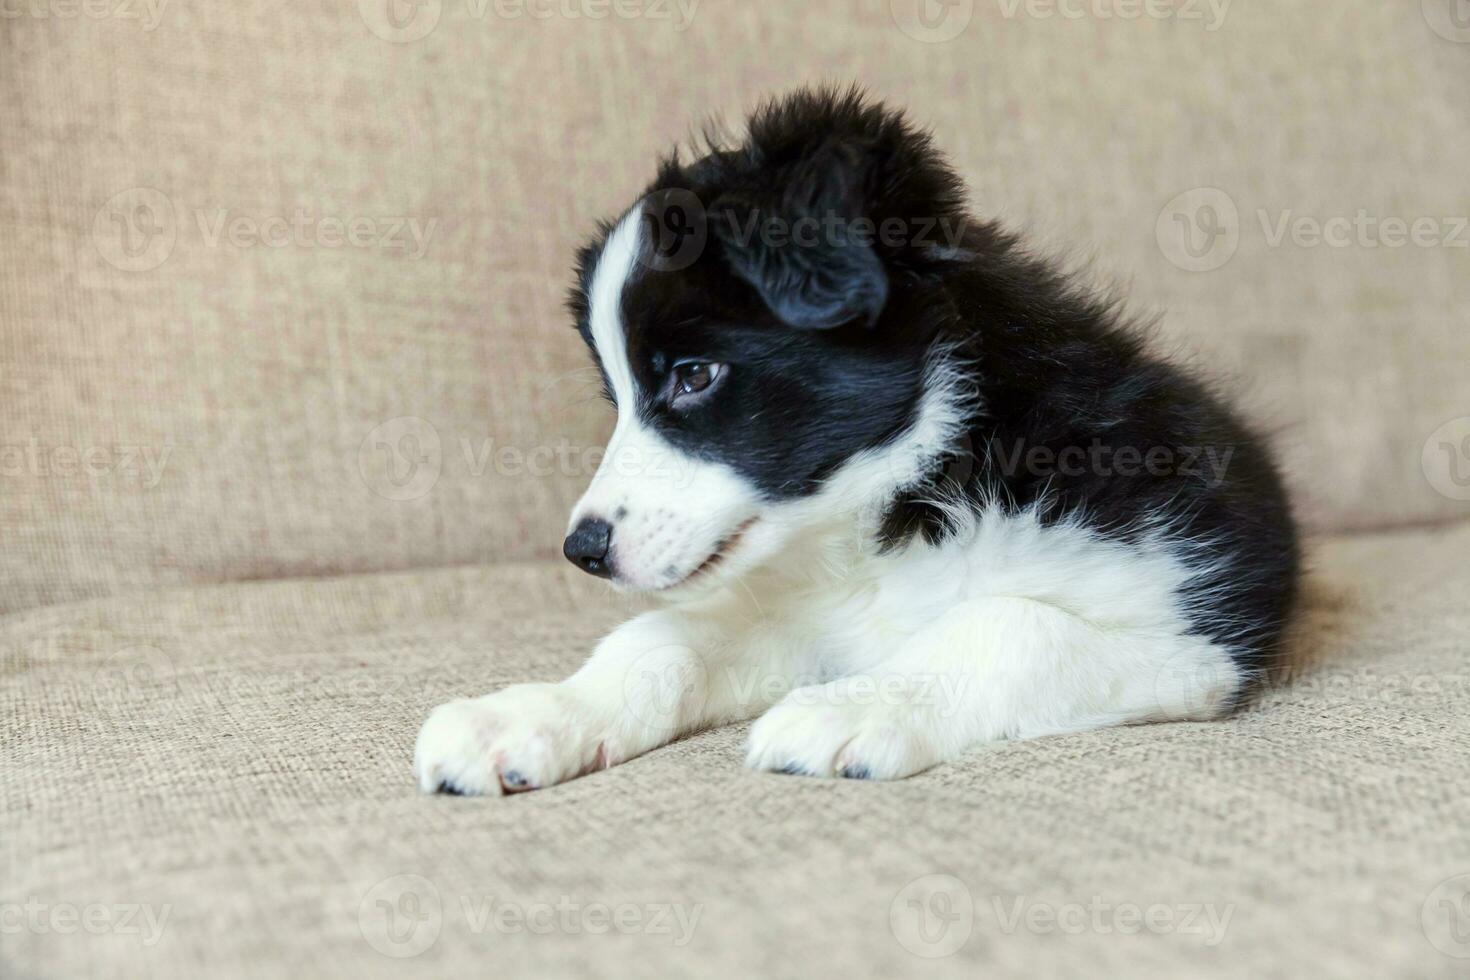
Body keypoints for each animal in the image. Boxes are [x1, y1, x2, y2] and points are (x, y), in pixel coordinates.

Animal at [414, 86, 1299, 799]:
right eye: (617, 396)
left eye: (694, 376)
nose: (583, 550)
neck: (912, 487)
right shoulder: (800, 615)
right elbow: (662, 638)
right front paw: (531, 713)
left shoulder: (1187, 632)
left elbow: (1008, 622)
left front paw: (849, 707)